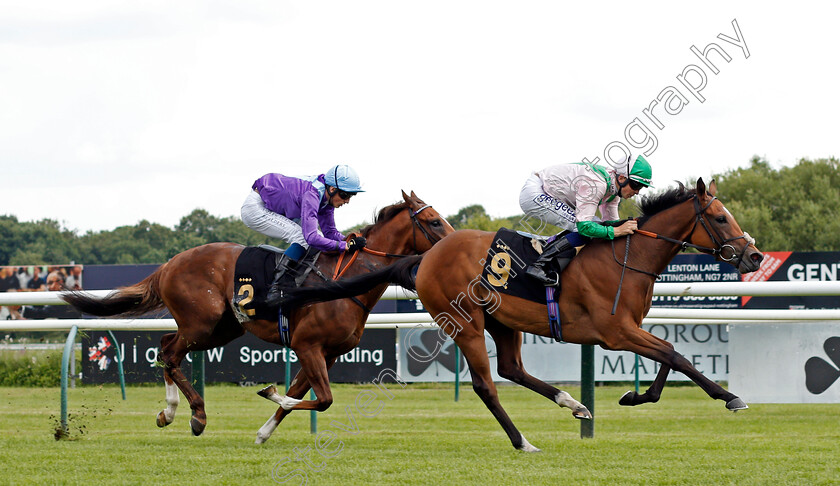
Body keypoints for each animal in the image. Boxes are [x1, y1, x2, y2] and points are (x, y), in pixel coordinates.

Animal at [60, 192, 452, 442]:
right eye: (434, 221)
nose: (457, 243)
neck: (343, 284)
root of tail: (170, 263)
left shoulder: (327, 353)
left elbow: (303, 394)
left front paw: (264, 432)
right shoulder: (307, 344)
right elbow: (321, 399)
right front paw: (269, 391)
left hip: (222, 329)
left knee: (166, 346)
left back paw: (176, 413)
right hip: (202, 323)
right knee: (169, 353)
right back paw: (190, 414)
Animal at [278, 179, 764, 452]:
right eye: (720, 217)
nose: (755, 255)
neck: (628, 258)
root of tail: (429, 255)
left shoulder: (629, 329)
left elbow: (669, 353)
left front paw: (634, 396)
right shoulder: (614, 332)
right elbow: (675, 355)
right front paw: (730, 397)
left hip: (502, 321)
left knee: (512, 368)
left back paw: (574, 404)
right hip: (465, 322)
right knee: (486, 384)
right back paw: (523, 440)